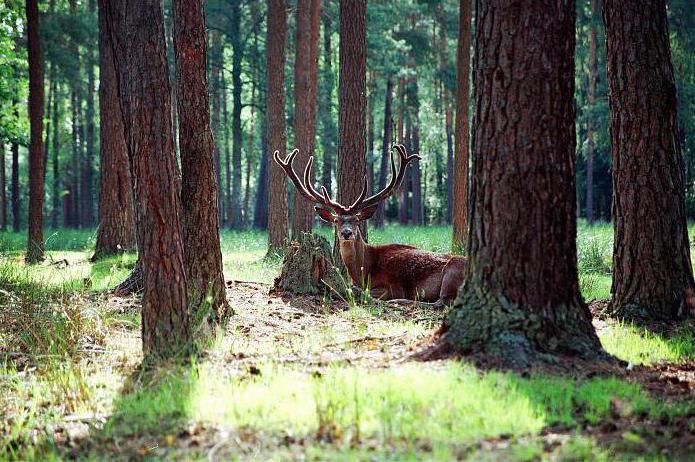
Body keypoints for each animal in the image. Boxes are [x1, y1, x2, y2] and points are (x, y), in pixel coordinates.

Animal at [274, 143, 468, 304]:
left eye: (357, 220)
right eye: (336, 220)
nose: (346, 233)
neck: (364, 269)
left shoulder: (391, 285)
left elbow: (361, 291)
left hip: (452, 272)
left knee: (442, 302)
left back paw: (400, 301)